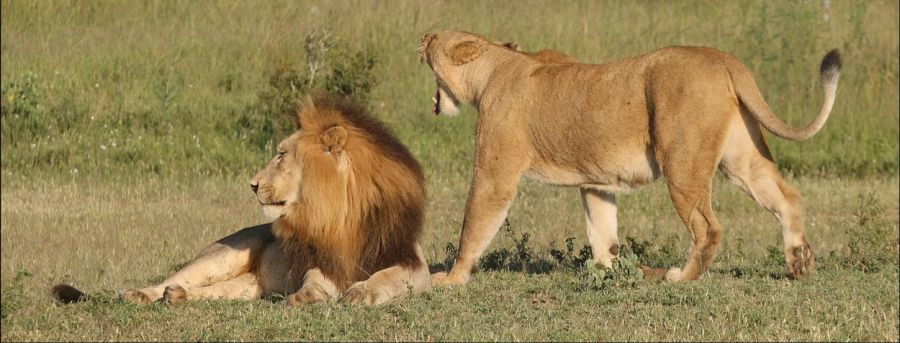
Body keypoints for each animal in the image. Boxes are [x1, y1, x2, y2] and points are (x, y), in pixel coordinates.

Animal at [52, 94, 432, 306]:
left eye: (281, 155)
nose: (252, 184)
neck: (340, 214)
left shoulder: (410, 261)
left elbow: (390, 277)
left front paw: (363, 292)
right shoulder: (321, 258)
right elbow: (317, 278)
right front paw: (310, 296)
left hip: (249, 288)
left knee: (208, 292)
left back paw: (176, 298)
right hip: (221, 256)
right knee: (173, 279)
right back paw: (139, 295)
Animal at [418, 31, 840, 284]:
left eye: (435, 38)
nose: (421, 37)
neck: (494, 66)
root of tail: (722, 57)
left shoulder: (495, 174)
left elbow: (473, 225)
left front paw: (451, 279)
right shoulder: (594, 182)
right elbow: (603, 231)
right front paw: (610, 271)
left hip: (682, 162)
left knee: (708, 226)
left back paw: (680, 276)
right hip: (741, 157)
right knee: (787, 198)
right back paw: (799, 265)